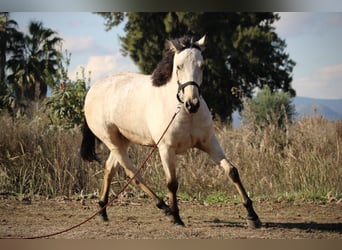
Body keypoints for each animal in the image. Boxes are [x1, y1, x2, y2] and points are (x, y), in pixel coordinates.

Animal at [81, 35, 262, 229]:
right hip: (112, 141)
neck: (184, 113)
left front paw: (253, 216)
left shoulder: (209, 143)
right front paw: (176, 217)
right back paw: (165, 208)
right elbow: (172, 183)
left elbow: (232, 171)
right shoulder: (166, 149)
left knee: (110, 169)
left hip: (123, 140)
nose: (192, 104)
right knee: (133, 173)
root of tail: (93, 90)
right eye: (179, 66)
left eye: (202, 66)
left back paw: (103, 211)